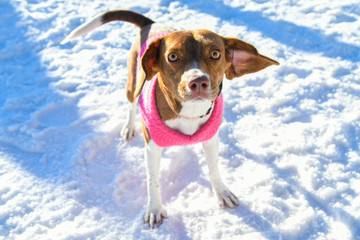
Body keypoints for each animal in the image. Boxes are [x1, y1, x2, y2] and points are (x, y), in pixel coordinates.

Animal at [63, 10, 280, 228]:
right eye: (173, 56)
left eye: (216, 54)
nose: (198, 81)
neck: (189, 112)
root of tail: (151, 23)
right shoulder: (152, 149)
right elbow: (153, 181)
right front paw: (154, 209)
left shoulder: (211, 141)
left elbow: (213, 168)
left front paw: (222, 192)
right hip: (133, 80)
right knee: (132, 103)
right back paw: (128, 127)